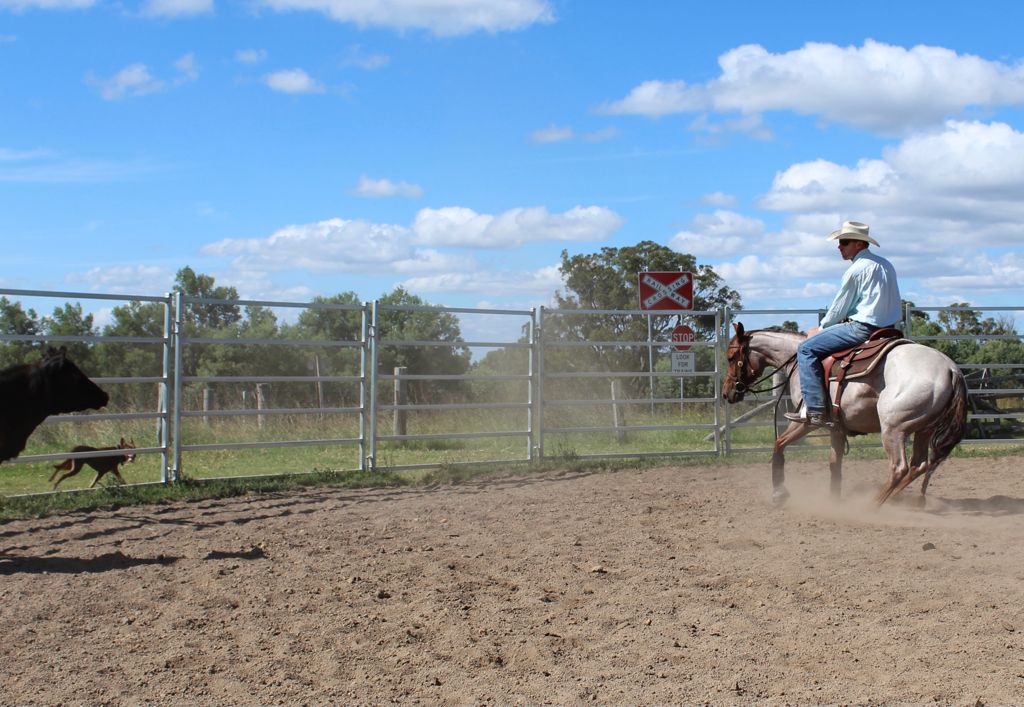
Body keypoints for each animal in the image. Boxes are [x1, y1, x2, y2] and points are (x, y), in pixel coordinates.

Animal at [722, 323, 968, 507]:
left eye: (731, 357)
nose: (727, 392)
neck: (797, 361)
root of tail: (950, 368)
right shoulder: (837, 427)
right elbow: (834, 464)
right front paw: (833, 500)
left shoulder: (808, 421)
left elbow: (778, 444)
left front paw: (779, 493)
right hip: (923, 429)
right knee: (919, 465)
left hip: (893, 428)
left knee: (899, 468)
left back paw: (870, 506)